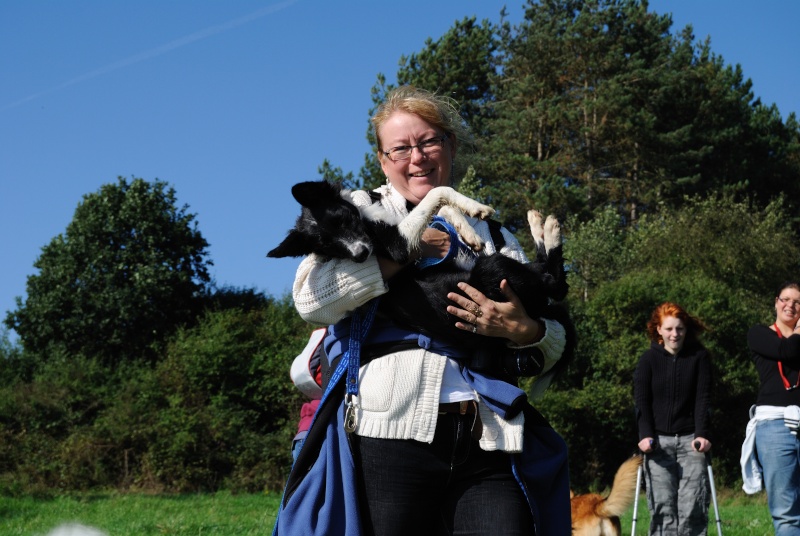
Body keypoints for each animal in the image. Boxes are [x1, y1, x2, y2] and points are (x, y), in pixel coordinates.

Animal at [272, 180, 572, 376]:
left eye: (341, 220)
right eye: (329, 247)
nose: (360, 257)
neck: (369, 223)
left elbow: (442, 210)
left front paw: (468, 228)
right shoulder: (400, 246)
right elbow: (436, 191)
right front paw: (475, 207)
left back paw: (539, 224)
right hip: (496, 270)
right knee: (555, 284)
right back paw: (550, 230)